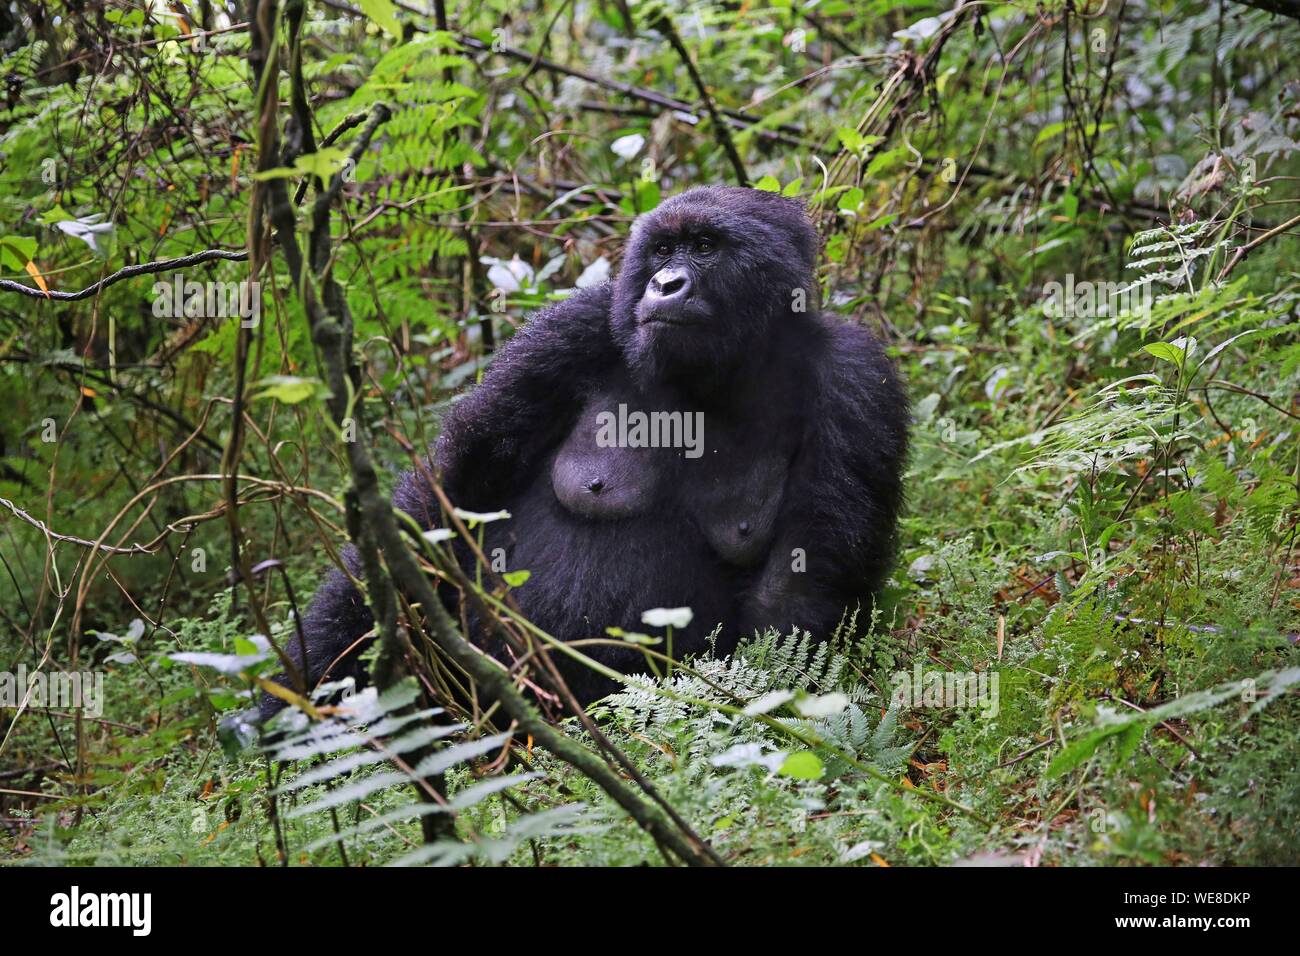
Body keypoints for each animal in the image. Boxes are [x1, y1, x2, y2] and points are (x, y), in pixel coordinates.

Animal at [258, 184, 909, 717]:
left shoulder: (855, 379)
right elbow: (446, 497)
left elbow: (800, 592)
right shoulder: (571, 328)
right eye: (661, 251)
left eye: (704, 246)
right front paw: (307, 683)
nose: (665, 285)